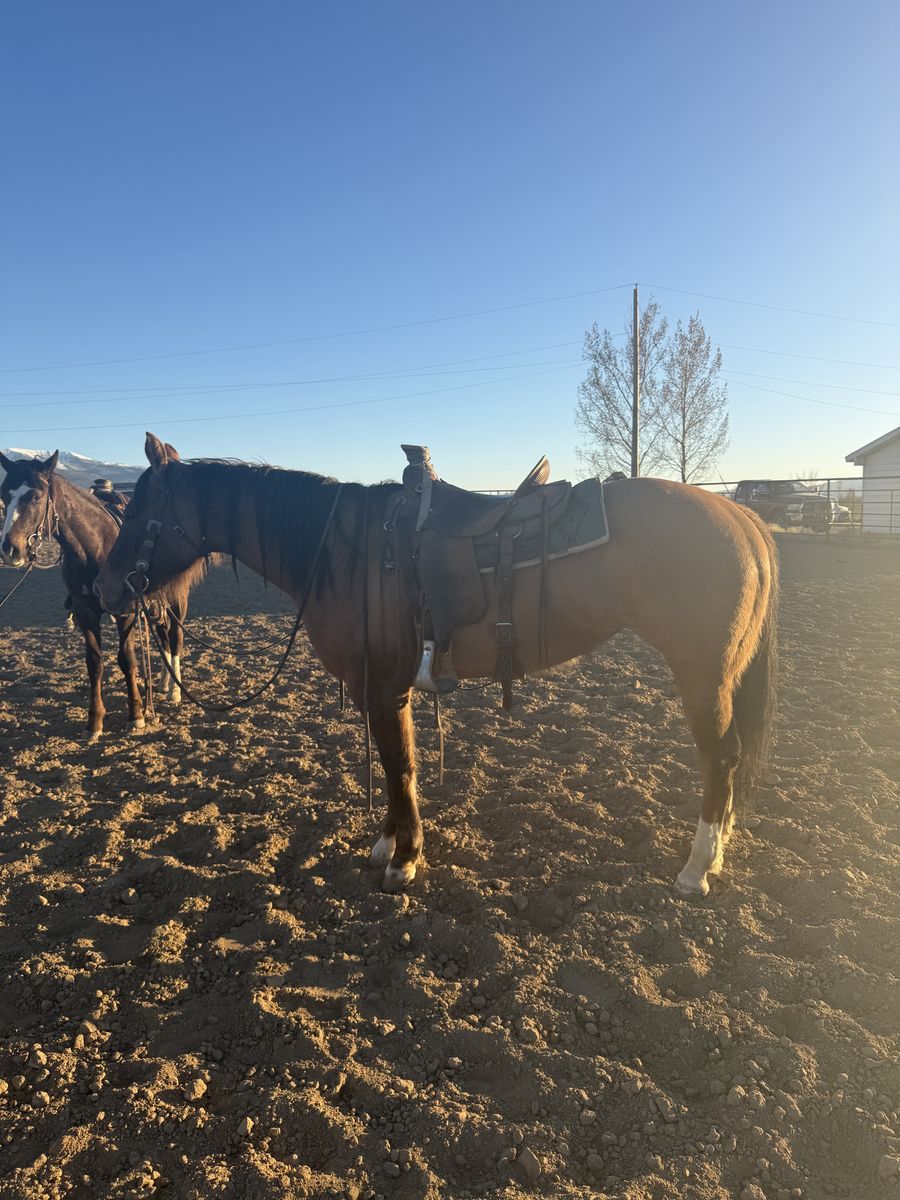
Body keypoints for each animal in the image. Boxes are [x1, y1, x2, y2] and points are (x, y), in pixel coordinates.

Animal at [0, 449, 208, 740]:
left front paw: (136, 715)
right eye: (4, 496)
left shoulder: (125, 612)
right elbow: (94, 663)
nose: (10, 550)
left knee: (175, 636)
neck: (93, 546)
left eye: (36, 496)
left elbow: (127, 659)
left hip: (177, 600)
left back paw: (175, 691)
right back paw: (165, 682)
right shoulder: (85, 612)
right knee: (163, 634)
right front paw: (95, 721)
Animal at [96, 432, 779, 898]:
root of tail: (745, 520)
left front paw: (406, 858)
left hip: (704, 675)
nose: (105, 588)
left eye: (138, 512)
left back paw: (696, 869)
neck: (345, 549)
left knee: (721, 756)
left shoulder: (384, 688)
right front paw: (387, 843)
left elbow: (400, 767)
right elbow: (397, 765)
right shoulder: (378, 687)